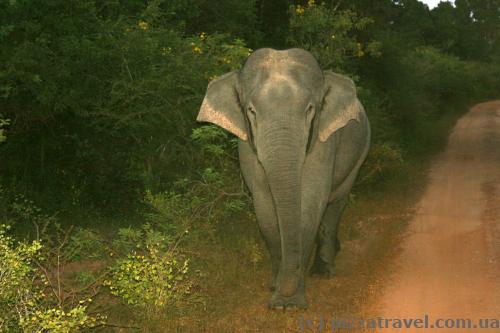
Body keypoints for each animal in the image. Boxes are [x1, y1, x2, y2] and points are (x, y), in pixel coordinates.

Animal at [196, 47, 372, 308]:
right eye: (251, 111)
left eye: (310, 109)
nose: (281, 288)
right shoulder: (246, 146)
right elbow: (264, 209)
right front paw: (276, 292)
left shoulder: (324, 140)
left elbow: (309, 204)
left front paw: (289, 303)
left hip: (361, 153)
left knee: (335, 205)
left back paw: (323, 270)